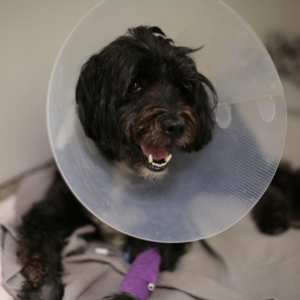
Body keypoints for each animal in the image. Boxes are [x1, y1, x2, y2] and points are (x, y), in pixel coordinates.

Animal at [15, 26, 216, 300]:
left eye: (181, 87)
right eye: (135, 85)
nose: (175, 126)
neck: (124, 169)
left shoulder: (170, 230)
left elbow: (147, 261)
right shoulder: (49, 211)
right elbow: (39, 249)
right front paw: (43, 289)